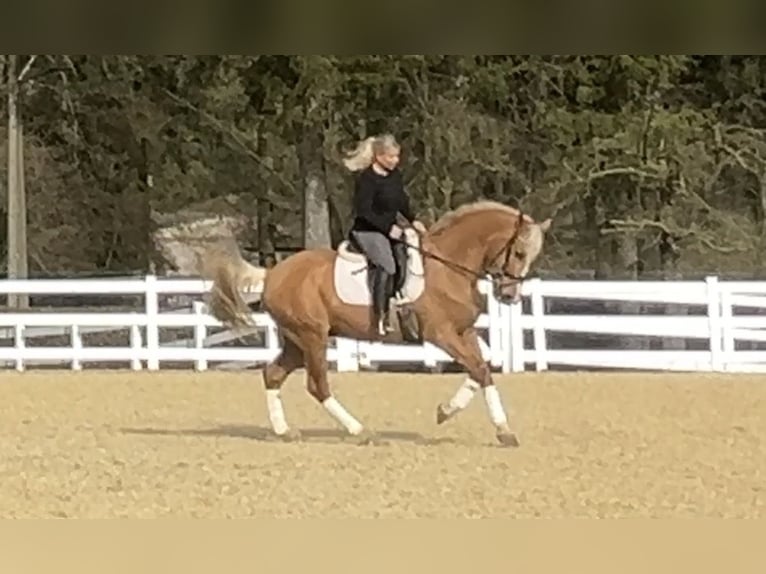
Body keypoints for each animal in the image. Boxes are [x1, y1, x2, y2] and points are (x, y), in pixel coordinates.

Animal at [199, 199, 552, 447]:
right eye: (519, 252)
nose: (509, 296)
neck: (448, 266)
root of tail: (273, 273)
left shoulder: (463, 332)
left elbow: (483, 370)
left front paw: (493, 427)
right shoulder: (441, 334)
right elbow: (478, 369)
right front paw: (459, 416)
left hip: (296, 341)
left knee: (273, 374)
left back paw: (285, 431)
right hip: (312, 337)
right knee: (317, 385)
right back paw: (360, 431)